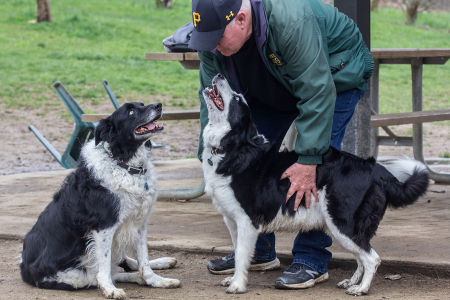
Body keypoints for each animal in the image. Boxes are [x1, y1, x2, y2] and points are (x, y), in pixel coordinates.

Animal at [19, 102, 181, 298]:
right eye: (131, 111)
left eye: (142, 104)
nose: (158, 105)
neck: (125, 164)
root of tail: (23, 267)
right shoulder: (104, 226)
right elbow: (103, 265)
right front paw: (110, 289)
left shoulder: (139, 223)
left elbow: (144, 259)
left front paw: (155, 280)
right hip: (76, 276)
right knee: (102, 274)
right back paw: (131, 279)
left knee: (121, 265)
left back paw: (159, 264)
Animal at [200, 74, 428, 296]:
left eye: (237, 99)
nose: (219, 74)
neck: (232, 147)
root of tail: (375, 168)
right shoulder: (232, 219)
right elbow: (238, 250)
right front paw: (233, 278)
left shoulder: (248, 221)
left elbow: (241, 255)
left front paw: (237, 285)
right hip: (339, 226)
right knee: (361, 256)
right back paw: (351, 282)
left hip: (343, 223)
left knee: (372, 258)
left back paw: (361, 288)